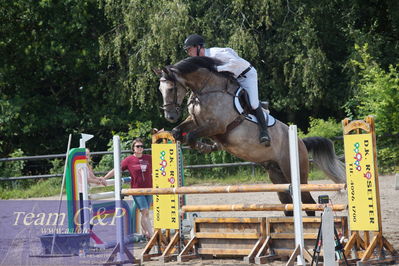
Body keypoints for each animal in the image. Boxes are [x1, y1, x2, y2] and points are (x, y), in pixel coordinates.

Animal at [155, 56, 346, 216]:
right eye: (160, 89)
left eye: (171, 88)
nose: (170, 116)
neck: (206, 90)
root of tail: (301, 142)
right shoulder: (195, 121)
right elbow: (178, 132)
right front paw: (200, 144)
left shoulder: (217, 126)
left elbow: (192, 136)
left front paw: (203, 146)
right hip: (276, 175)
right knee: (288, 203)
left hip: (295, 171)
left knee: (308, 203)